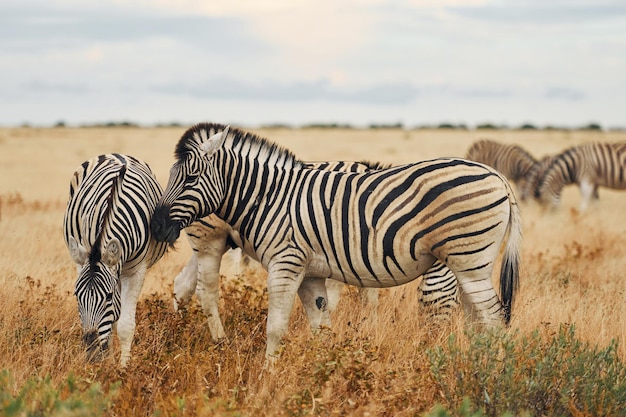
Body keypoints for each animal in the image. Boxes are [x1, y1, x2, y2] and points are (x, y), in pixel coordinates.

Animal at [62, 153, 167, 364]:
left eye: (108, 296)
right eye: (76, 295)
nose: (92, 352)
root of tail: (116, 155)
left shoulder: (136, 271)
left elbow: (126, 325)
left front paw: (123, 368)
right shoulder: (85, 252)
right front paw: (106, 362)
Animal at [171, 159, 458, 342]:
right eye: (454, 296)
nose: (440, 340)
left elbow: (370, 298)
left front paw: (370, 331)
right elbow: (334, 301)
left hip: (216, 243)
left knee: (182, 284)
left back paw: (177, 329)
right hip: (209, 238)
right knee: (204, 289)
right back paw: (218, 340)